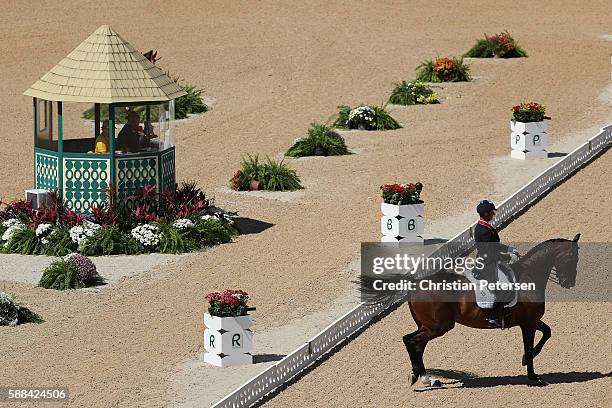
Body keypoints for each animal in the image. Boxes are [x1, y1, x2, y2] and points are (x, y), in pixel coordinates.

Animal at [364, 234, 584, 388]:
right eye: (572, 258)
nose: (569, 283)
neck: (528, 277)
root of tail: (417, 283)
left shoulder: (530, 320)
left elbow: (547, 332)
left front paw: (525, 363)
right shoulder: (528, 323)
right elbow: (530, 347)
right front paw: (533, 376)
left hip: (428, 325)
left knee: (418, 345)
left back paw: (426, 378)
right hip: (438, 326)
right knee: (410, 341)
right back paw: (418, 376)